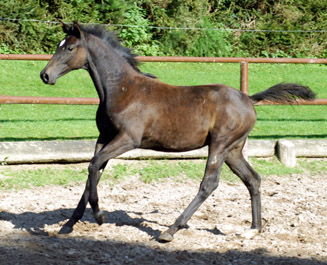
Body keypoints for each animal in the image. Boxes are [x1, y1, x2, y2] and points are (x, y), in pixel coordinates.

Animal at [39, 21, 316, 240]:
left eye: (69, 48)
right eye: (59, 45)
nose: (45, 75)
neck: (121, 89)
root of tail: (249, 99)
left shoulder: (128, 139)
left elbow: (93, 166)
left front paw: (98, 215)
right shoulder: (104, 137)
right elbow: (92, 171)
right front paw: (69, 225)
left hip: (220, 144)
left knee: (209, 184)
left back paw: (170, 231)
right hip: (234, 150)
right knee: (253, 179)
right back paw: (253, 229)